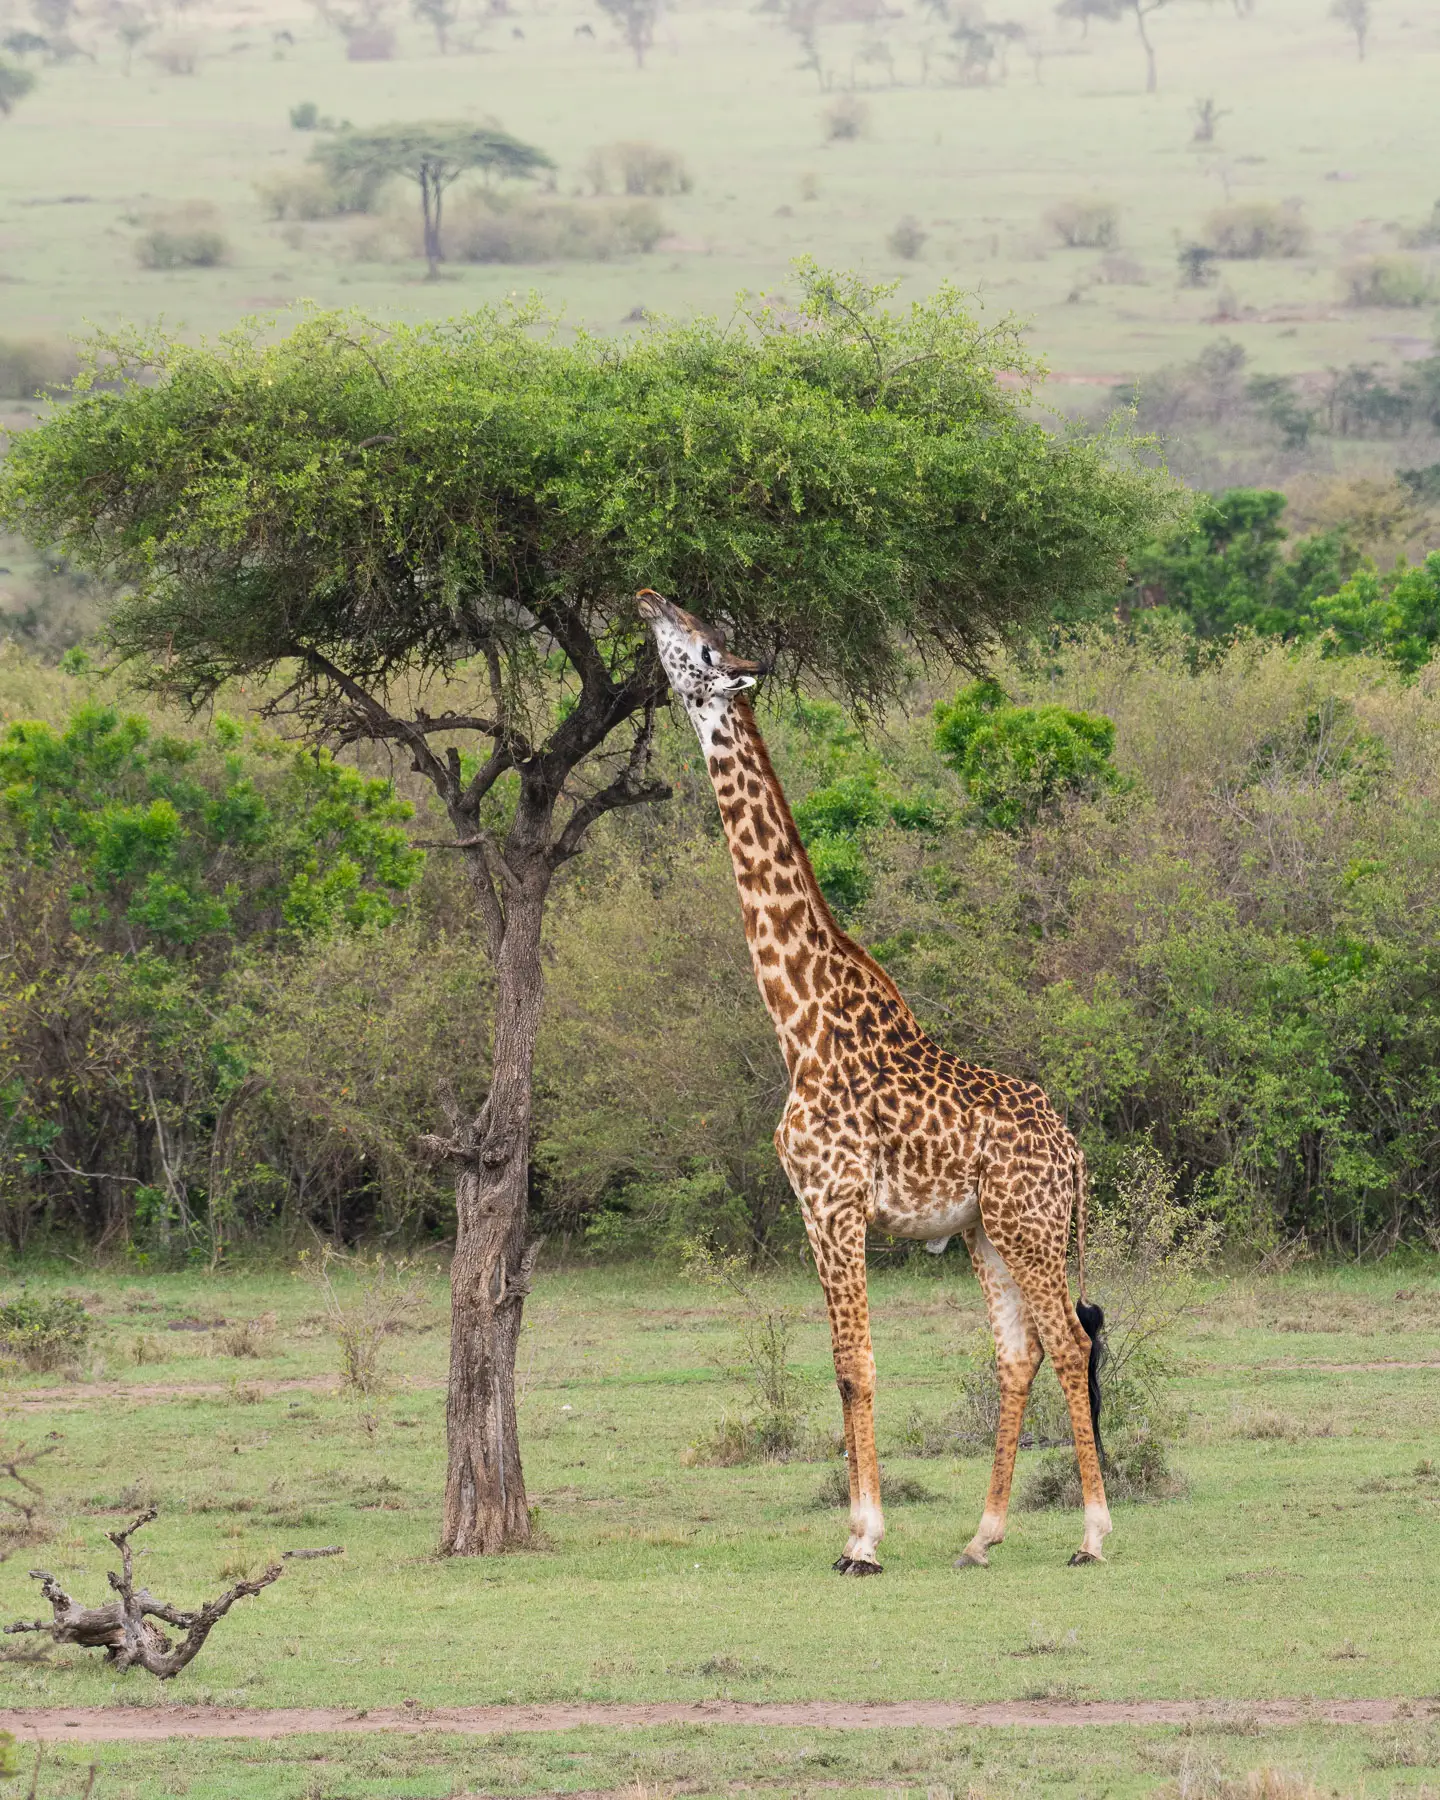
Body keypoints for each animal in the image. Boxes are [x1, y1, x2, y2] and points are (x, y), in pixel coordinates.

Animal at [636, 590, 1111, 1574]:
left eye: (700, 644)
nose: (647, 597)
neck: (799, 1021)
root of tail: (1075, 1153)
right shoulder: (815, 1206)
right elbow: (842, 1364)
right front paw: (864, 1530)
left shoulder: (834, 1198)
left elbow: (855, 1364)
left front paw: (864, 1538)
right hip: (986, 1232)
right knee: (1018, 1353)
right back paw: (981, 1536)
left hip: (1030, 1222)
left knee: (1068, 1340)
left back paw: (1092, 1532)